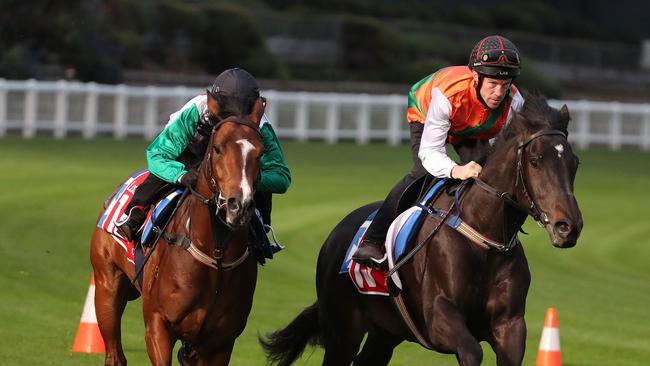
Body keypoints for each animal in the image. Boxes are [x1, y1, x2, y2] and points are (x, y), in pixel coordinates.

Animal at [88, 116, 264, 364]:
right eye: (217, 148)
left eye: (261, 152)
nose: (238, 206)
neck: (215, 256)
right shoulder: (158, 326)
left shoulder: (221, 342)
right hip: (107, 286)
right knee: (115, 354)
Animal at [260, 95, 580, 366]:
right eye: (535, 161)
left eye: (574, 163)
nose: (569, 226)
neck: (482, 238)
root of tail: (334, 236)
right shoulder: (439, 318)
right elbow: (472, 351)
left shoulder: (510, 325)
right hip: (343, 332)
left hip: (386, 331)